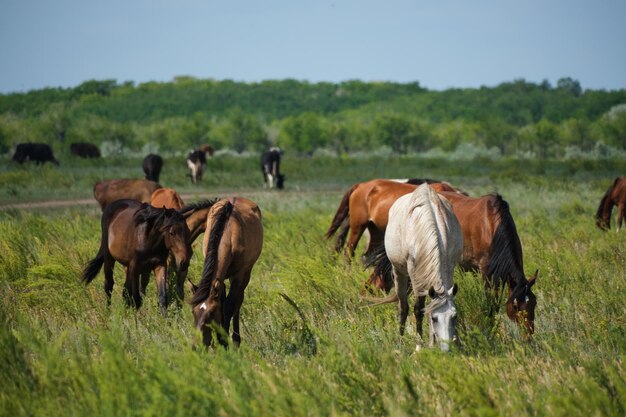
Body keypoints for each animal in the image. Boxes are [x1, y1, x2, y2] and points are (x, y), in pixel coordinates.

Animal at [188, 197, 260, 346]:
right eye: (193, 312)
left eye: (211, 314)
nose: (196, 346)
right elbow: (222, 301)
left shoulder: (238, 275)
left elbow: (229, 306)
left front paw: (224, 341)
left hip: (245, 274)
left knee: (238, 301)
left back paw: (236, 339)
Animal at [364, 185, 460, 352]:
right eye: (435, 318)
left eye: (454, 317)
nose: (446, 349)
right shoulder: (415, 276)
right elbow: (418, 309)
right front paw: (418, 347)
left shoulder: (448, 267)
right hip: (399, 272)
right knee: (403, 306)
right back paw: (400, 340)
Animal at [438, 192, 536, 334]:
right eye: (515, 306)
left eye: (534, 303)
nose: (528, 333)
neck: (492, 228)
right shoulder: (486, 272)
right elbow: (491, 304)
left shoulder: (502, 275)